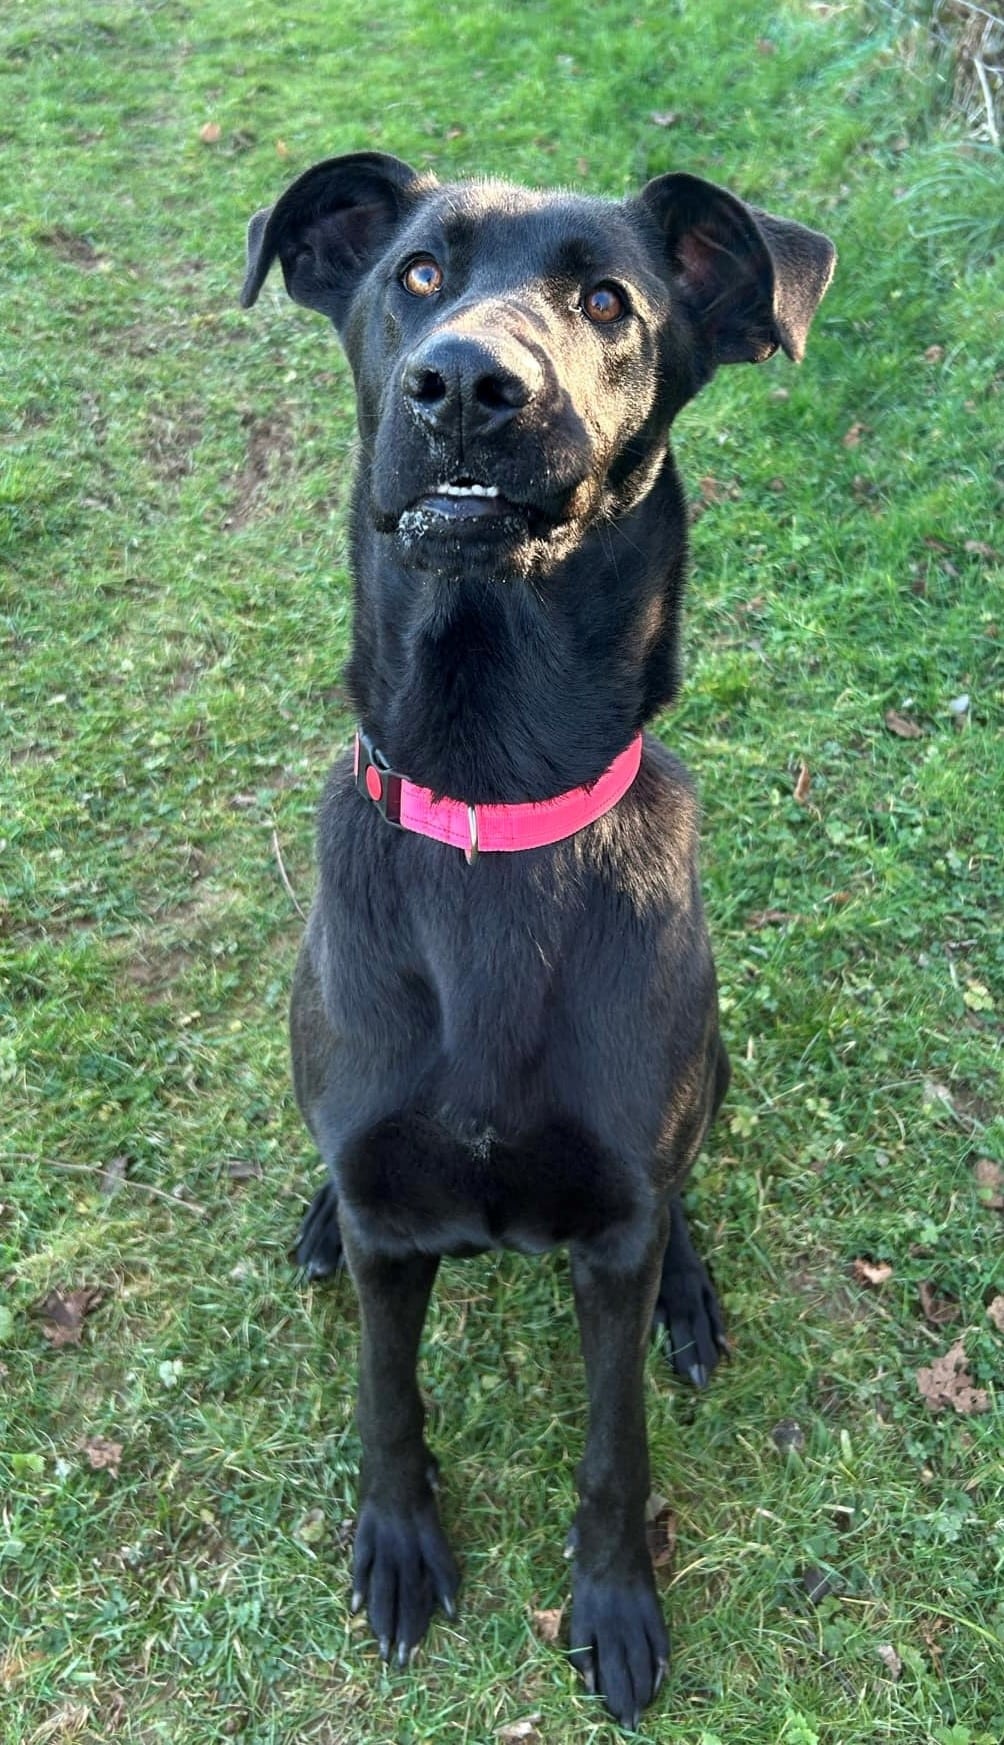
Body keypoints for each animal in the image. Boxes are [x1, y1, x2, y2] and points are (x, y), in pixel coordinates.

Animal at [240, 146, 831, 1717]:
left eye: (607, 302)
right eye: (418, 274)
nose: (464, 386)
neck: (494, 794)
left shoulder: (610, 1235)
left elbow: (614, 1446)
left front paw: (615, 1606)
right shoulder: (394, 1225)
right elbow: (387, 1398)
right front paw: (397, 1545)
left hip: (714, 1070)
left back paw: (693, 1289)